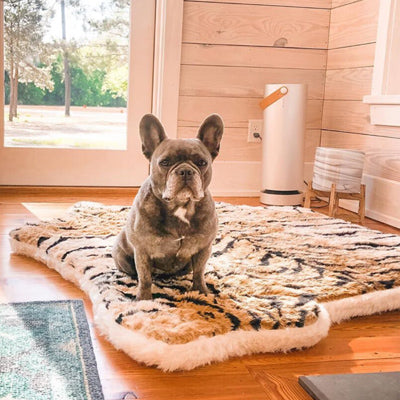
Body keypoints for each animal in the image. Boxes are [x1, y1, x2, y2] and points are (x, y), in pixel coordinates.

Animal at [112, 112, 223, 300]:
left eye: (202, 163)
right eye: (164, 162)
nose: (185, 171)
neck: (180, 205)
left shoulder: (204, 248)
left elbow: (199, 272)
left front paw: (201, 291)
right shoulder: (142, 250)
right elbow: (145, 277)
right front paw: (144, 299)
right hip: (122, 255)